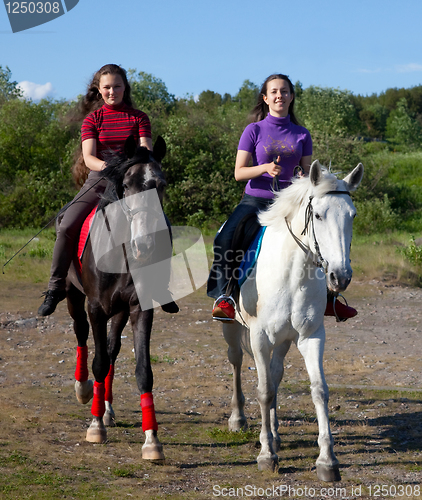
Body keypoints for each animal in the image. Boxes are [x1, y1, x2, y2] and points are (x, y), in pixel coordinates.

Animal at [65, 134, 171, 460]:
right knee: (82, 336)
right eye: (126, 185)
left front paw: (152, 440)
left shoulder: (139, 309)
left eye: (161, 185)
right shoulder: (96, 308)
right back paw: (84, 390)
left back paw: (107, 408)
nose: (145, 246)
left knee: (112, 350)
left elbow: (143, 370)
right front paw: (95, 426)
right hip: (75, 298)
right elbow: (98, 362)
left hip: (120, 310)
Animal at [223, 160, 364, 480]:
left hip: (284, 339)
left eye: (352, 215)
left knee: (276, 374)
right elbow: (263, 391)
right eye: (319, 215)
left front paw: (327, 460)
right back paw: (239, 419)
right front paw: (266, 456)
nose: (341, 277)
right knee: (236, 361)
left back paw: (275, 434)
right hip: (231, 327)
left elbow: (319, 391)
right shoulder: (259, 337)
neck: (291, 274)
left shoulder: (310, 336)